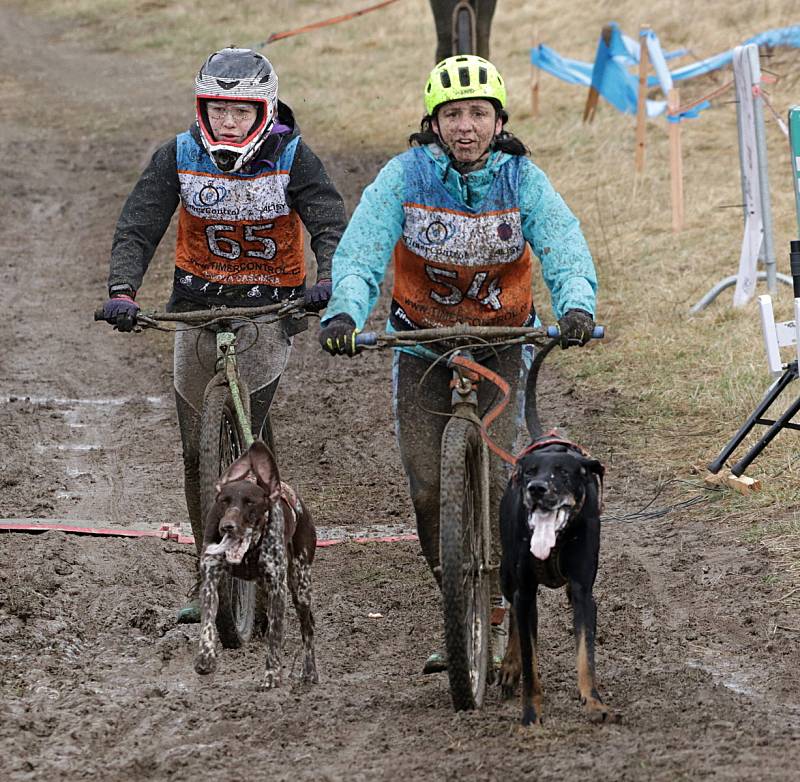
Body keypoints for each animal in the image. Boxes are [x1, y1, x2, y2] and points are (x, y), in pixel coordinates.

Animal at [194, 440, 318, 692]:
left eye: (250, 503)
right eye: (224, 501)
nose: (227, 526)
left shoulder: (278, 588)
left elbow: (274, 636)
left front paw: (271, 675)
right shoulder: (210, 578)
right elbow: (208, 620)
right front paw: (206, 656)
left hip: (300, 585)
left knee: (307, 627)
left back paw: (309, 672)